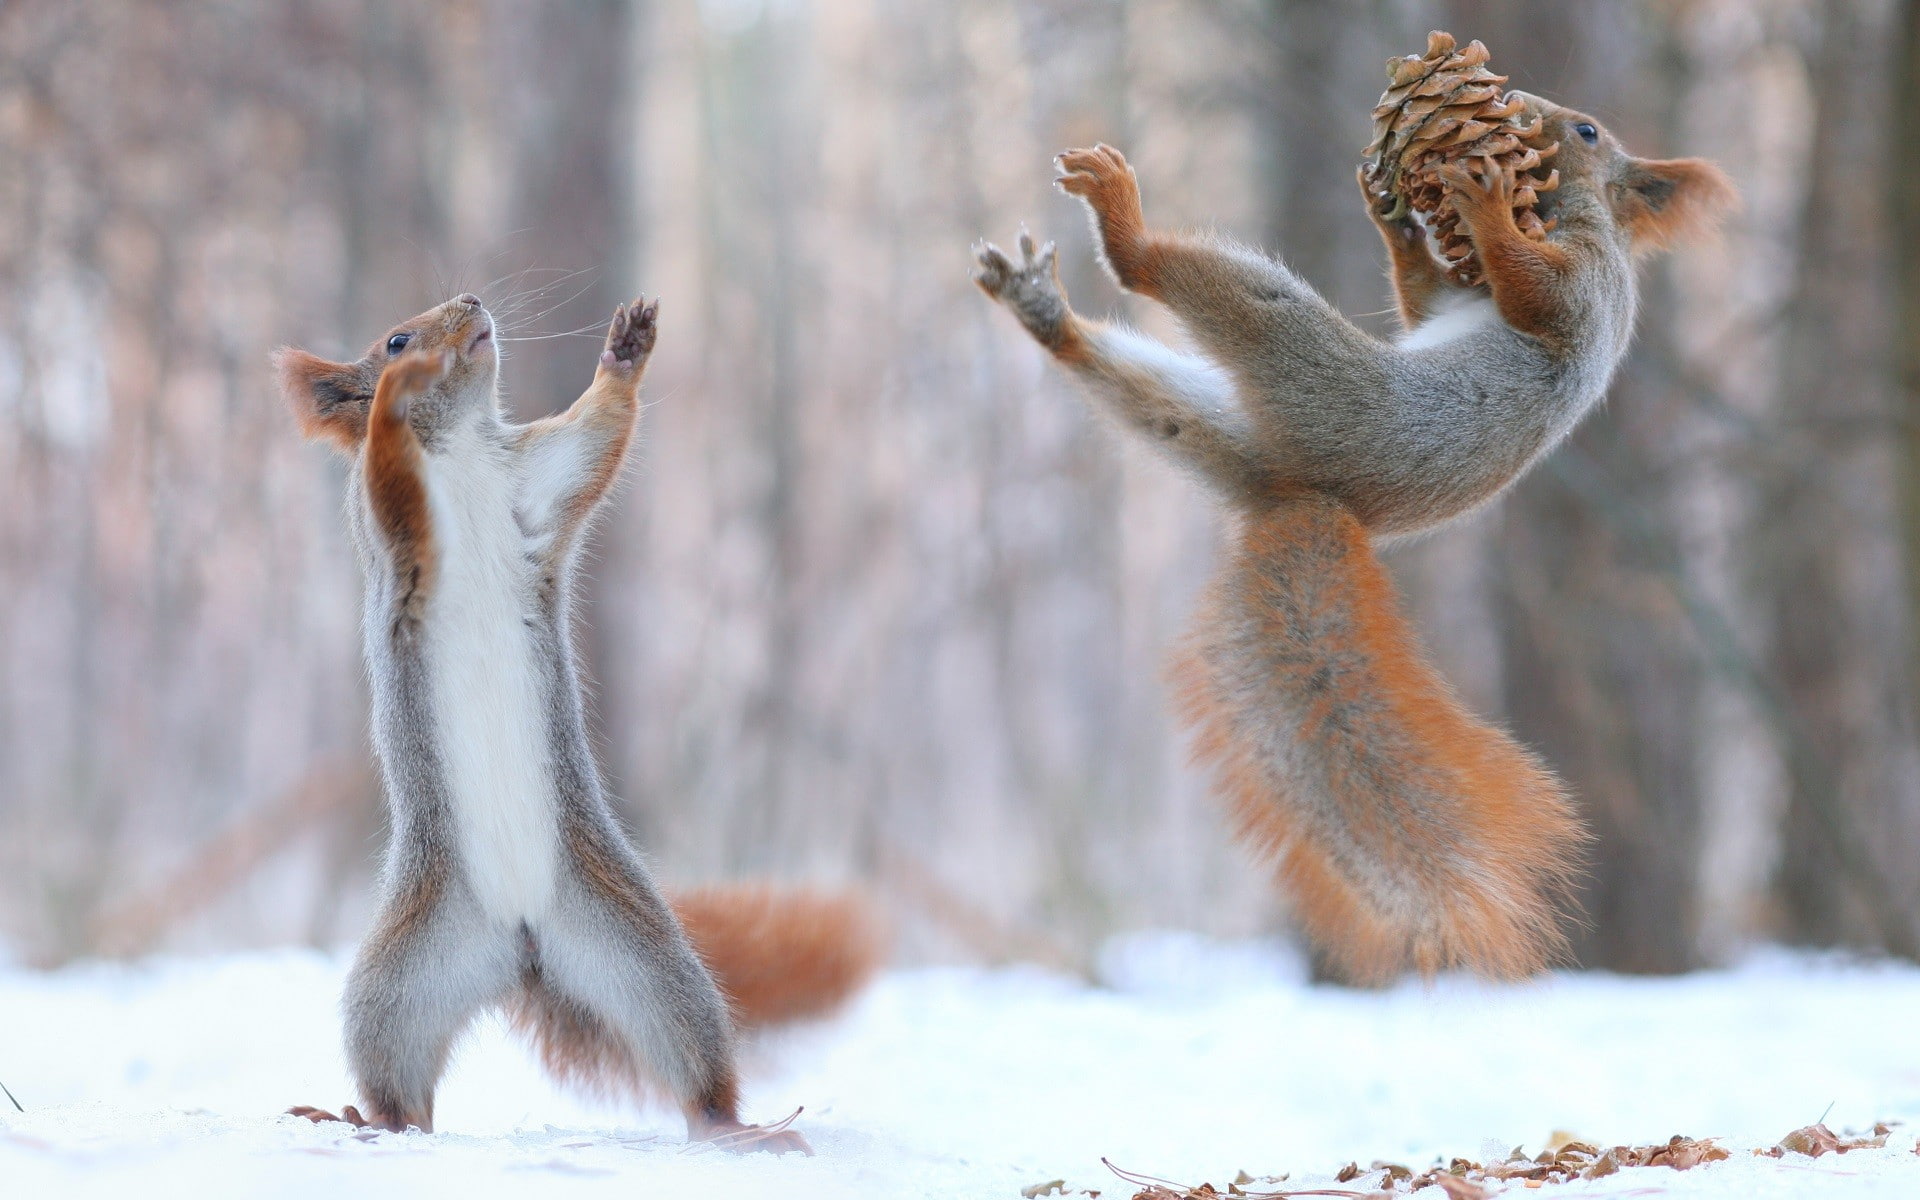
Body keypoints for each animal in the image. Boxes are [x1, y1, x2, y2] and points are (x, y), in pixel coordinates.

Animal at [274, 293, 881, 1149]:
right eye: (393, 339)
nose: (472, 303)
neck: (459, 448)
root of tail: (522, 944)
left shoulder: (537, 480)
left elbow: (595, 437)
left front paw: (625, 351)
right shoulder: (389, 523)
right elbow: (390, 472)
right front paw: (395, 397)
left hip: (641, 955)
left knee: (691, 1059)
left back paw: (738, 1129)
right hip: (397, 981)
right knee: (402, 1086)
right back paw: (366, 1119)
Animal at [972, 93, 1735, 983]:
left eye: (1586, 133)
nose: (1522, 110)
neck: (1564, 214)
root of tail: (1305, 495)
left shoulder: (1585, 286)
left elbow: (1534, 293)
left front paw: (1480, 205)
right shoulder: (1453, 300)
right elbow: (1423, 302)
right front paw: (1397, 220)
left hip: (1305, 361)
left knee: (1169, 279)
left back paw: (1122, 224)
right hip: (1206, 422)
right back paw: (1044, 312)